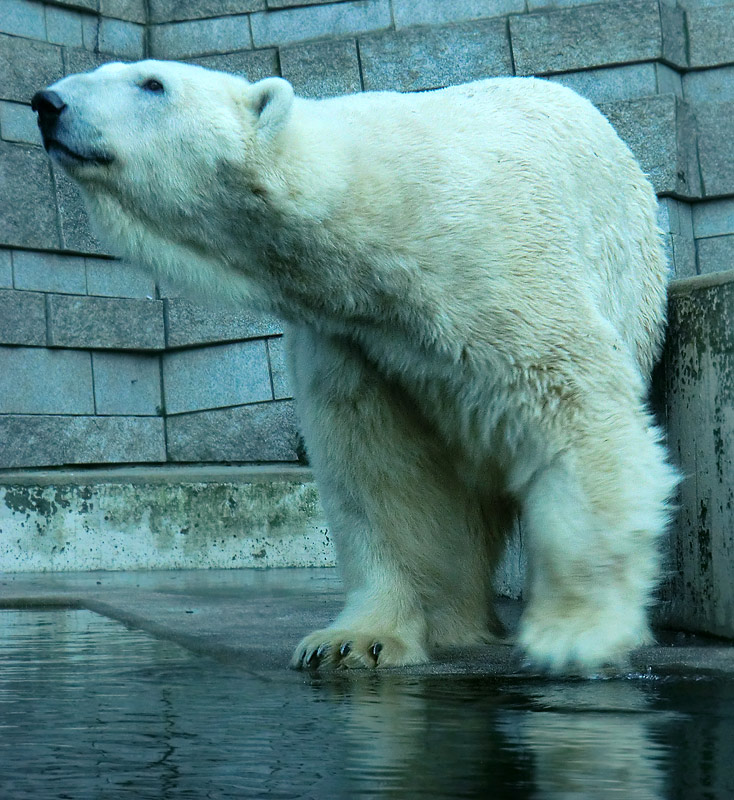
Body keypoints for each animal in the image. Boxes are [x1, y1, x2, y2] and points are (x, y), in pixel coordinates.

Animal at [33, 62, 680, 672]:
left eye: (153, 83)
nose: (46, 102)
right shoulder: (354, 338)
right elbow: (381, 468)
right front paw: (353, 642)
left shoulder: (491, 265)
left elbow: (573, 407)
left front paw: (573, 634)